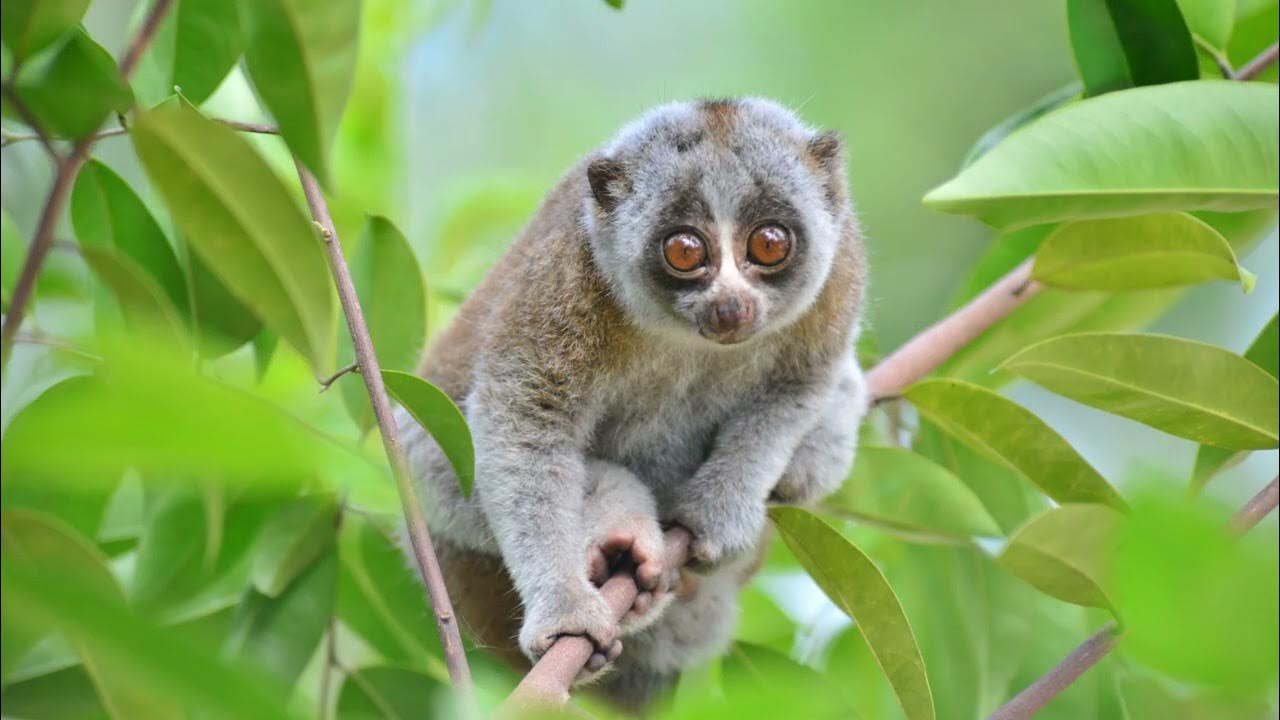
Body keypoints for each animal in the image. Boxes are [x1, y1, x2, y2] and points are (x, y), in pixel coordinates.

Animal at [399, 97, 868, 709]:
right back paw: (617, 532)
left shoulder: (841, 275)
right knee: (424, 454)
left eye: (769, 242)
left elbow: (800, 388)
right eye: (685, 250)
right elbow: (519, 419)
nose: (730, 306)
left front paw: (720, 512)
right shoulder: (565, 280)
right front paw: (565, 613)